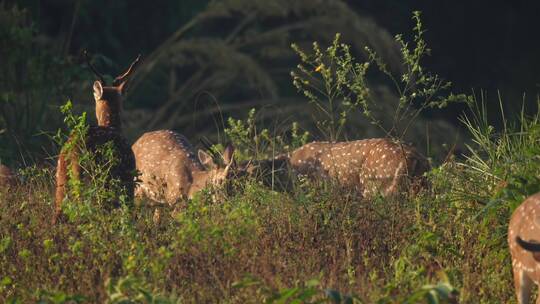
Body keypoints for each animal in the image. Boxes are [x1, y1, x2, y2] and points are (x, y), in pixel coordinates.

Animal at [52, 52, 140, 223]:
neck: (112, 125)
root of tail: (73, 147)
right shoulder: (128, 175)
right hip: (93, 174)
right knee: (85, 205)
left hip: (61, 174)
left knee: (59, 209)